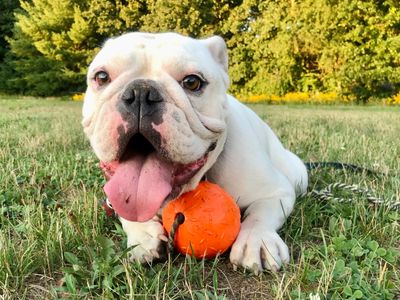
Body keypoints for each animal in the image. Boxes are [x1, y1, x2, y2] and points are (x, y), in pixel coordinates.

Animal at [80, 32, 306, 272]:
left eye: (192, 82)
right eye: (101, 77)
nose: (141, 91)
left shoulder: (276, 192)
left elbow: (260, 215)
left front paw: (257, 241)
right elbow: (128, 213)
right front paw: (143, 238)